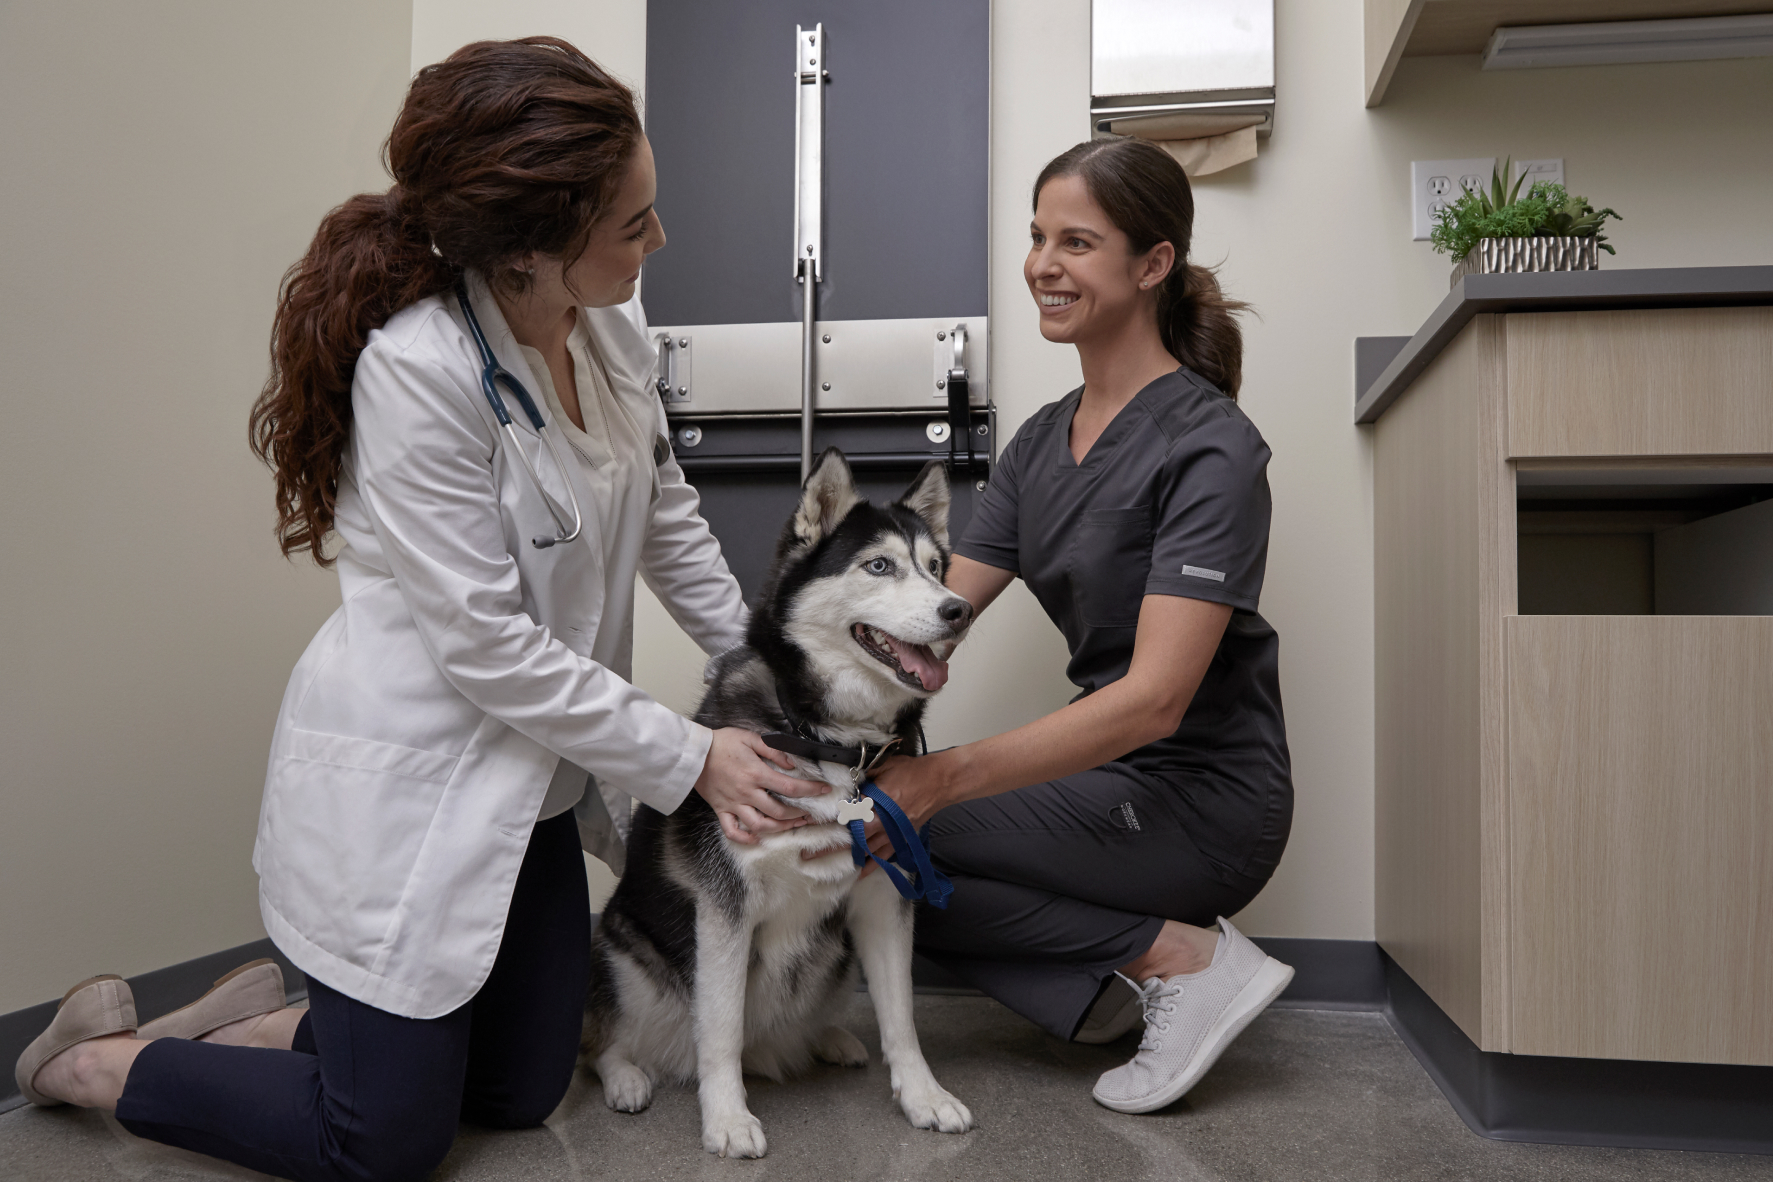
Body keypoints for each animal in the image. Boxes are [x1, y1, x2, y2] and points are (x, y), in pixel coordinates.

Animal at [577, 448, 971, 1162]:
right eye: (879, 566)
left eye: (935, 567)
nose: (961, 609)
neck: (835, 743)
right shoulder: (725, 908)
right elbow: (721, 1030)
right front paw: (727, 1120)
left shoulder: (885, 893)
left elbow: (901, 1016)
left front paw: (924, 1097)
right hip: (621, 952)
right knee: (606, 1040)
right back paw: (627, 1078)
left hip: (836, 960)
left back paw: (830, 1039)